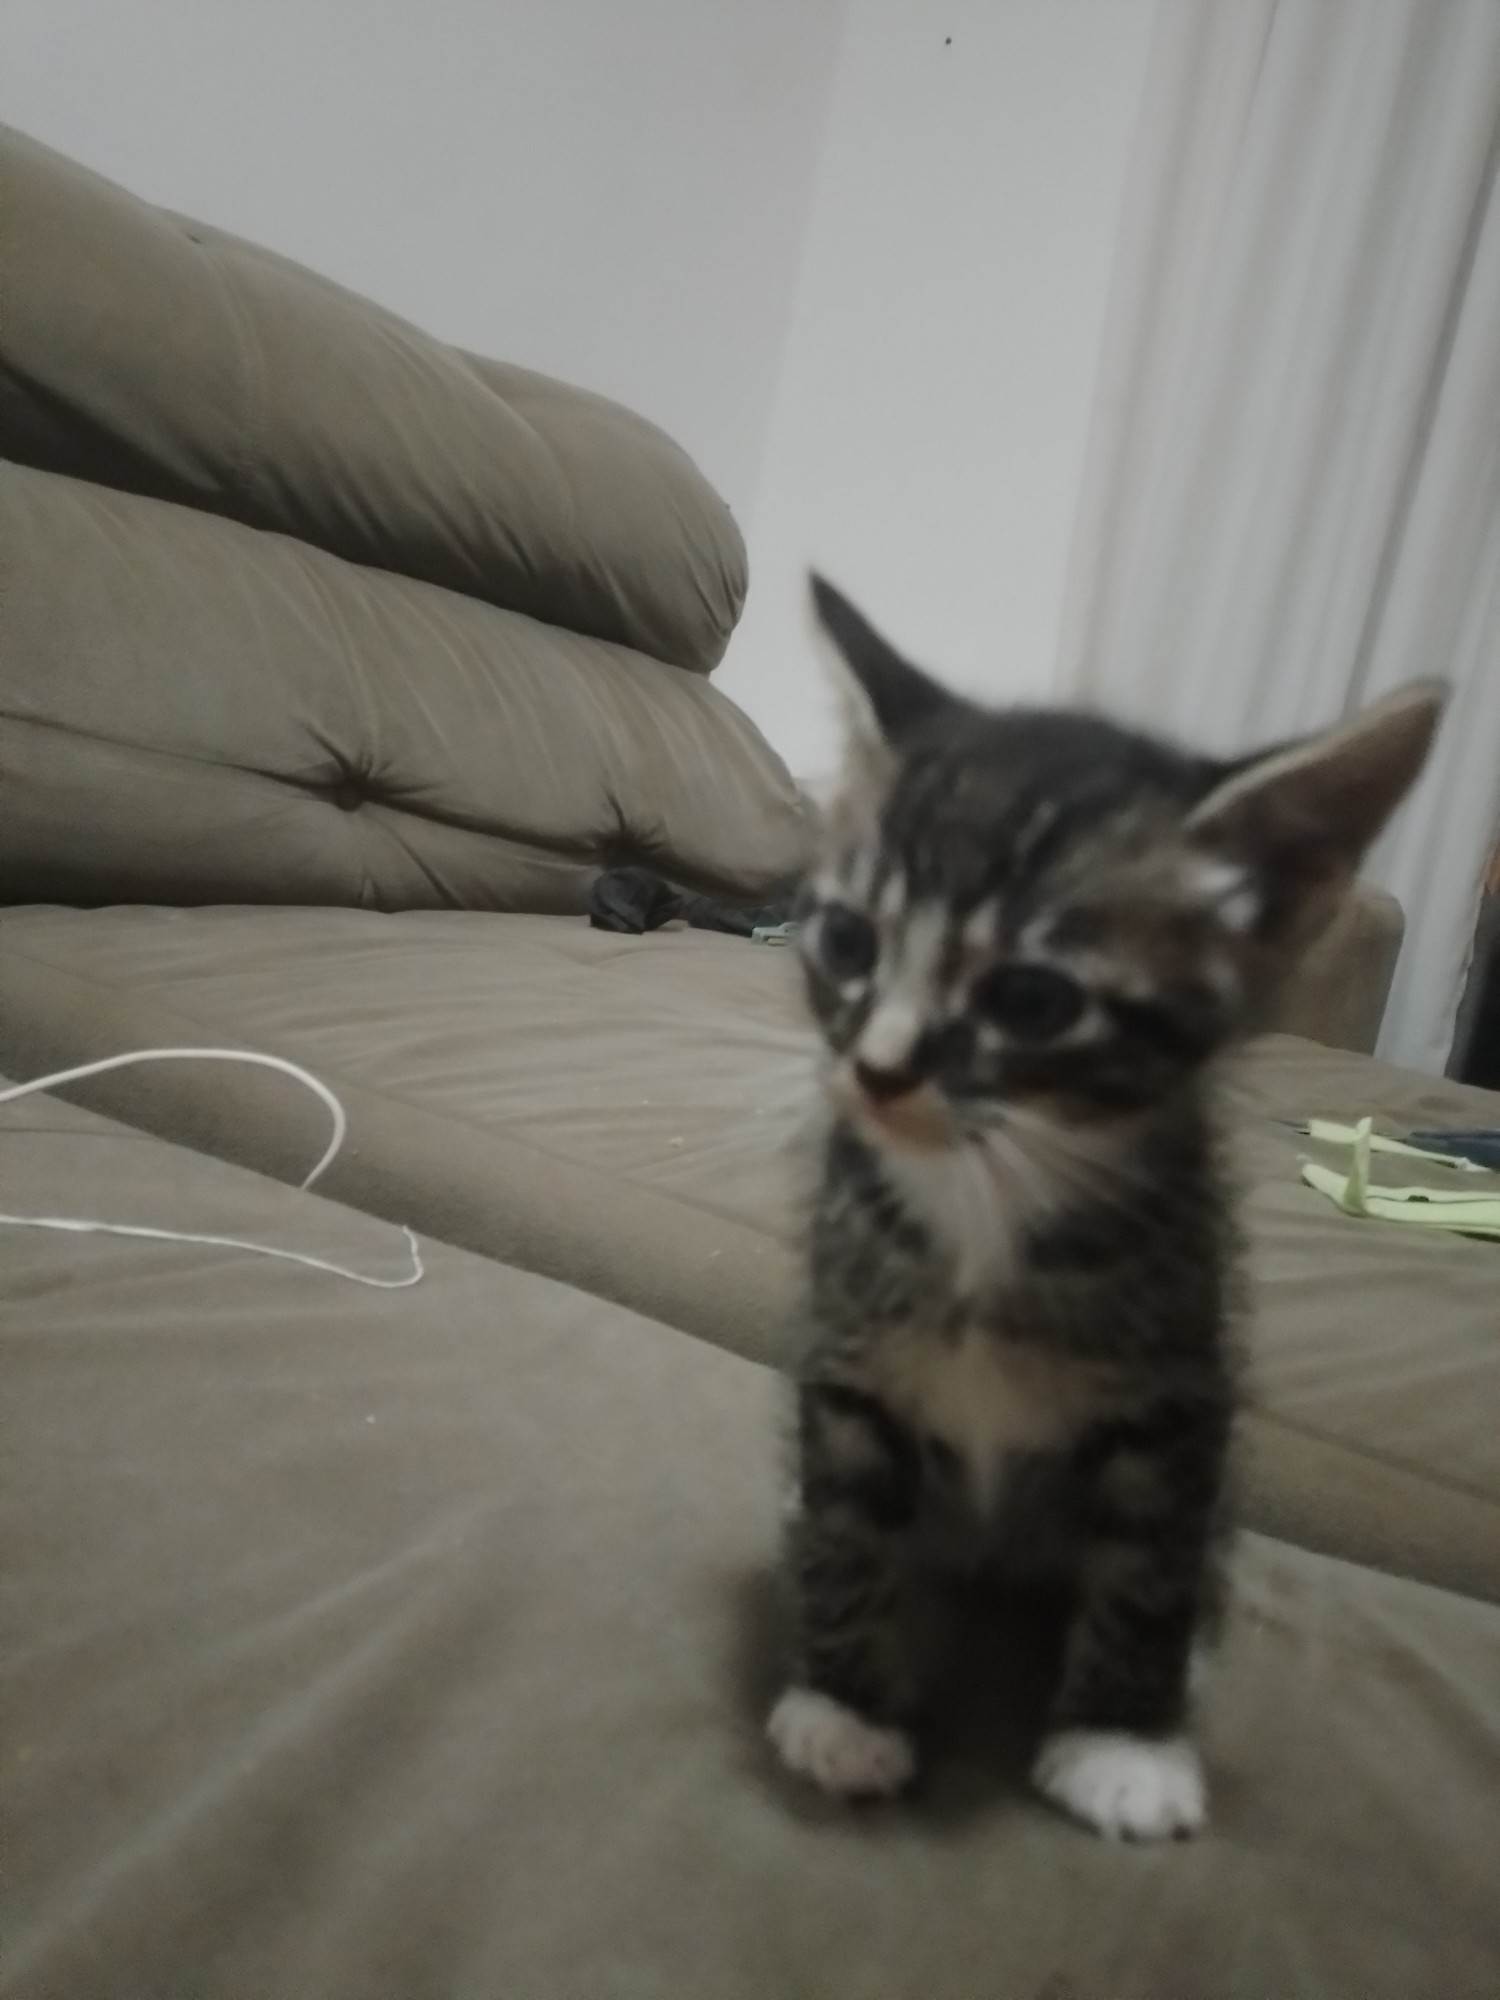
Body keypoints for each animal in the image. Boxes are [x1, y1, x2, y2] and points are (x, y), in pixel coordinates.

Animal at [767, 574, 1443, 1840]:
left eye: (1031, 999)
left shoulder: (1182, 1392)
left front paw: (1124, 1739)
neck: (989, 1191)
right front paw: (846, 1704)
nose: (875, 1071)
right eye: (845, 939)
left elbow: (1146, 1563)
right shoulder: (846, 1355)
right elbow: (846, 1524)